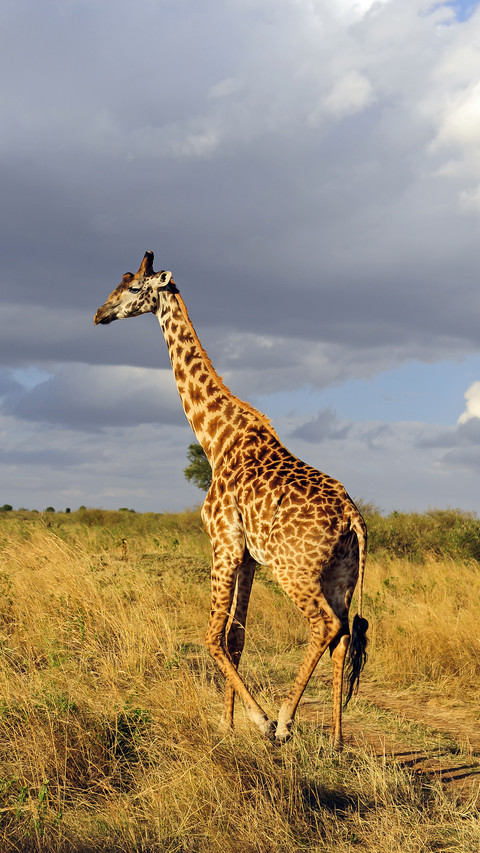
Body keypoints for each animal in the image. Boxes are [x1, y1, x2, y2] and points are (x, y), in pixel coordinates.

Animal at [94, 251, 368, 746]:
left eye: (133, 287)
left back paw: (284, 720)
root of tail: (352, 516)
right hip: (341, 576)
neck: (216, 439)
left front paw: (257, 721)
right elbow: (236, 637)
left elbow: (211, 635)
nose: (99, 313)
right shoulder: (247, 556)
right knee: (343, 638)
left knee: (326, 625)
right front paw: (226, 724)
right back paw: (336, 742)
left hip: (295, 570)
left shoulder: (222, 541)